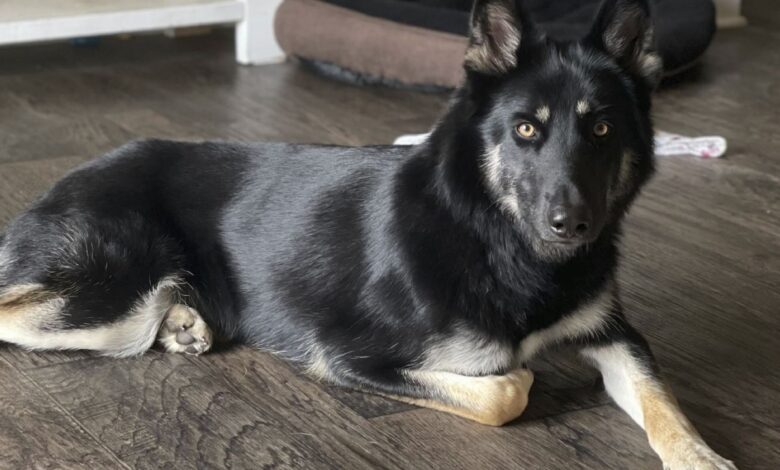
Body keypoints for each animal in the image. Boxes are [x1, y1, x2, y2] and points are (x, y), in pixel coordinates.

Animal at [0, 0, 736, 468]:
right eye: (526, 128)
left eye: (603, 128)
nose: (573, 224)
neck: (496, 238)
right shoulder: (350, 356)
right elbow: (507, 390)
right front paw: (520, 378)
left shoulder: (617, 335)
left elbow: (665, 403)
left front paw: (702, 456)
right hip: (113, 297)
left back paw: (185, 323)